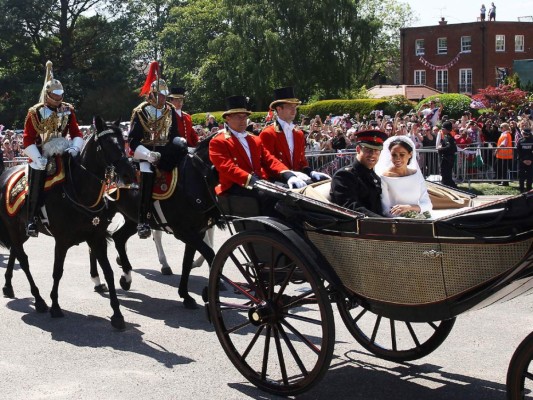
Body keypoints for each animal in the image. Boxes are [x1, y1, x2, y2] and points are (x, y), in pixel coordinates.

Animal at [0, 123, 135, 330]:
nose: (129, 173)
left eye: (122, 140)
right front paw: (55, 306)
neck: (79, 190)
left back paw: (8, 286)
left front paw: (117, 315)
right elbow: (57, 272)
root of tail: (6, 173)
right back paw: (39, 300)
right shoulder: (62, 241)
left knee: (15, 251)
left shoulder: (96, 237)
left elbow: (109, 272)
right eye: (107, 144)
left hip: (21, 230)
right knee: (23, 260)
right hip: (13, 228)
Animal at [89, 119, 220, 310]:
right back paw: (98, 281)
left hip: (132, 219)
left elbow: (187, 262)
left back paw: (126, 278)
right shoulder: (185, 232)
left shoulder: (197, 231)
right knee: (96, 245)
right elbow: (211, 255)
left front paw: (186, 296)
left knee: (119, 238)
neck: (194, 178)